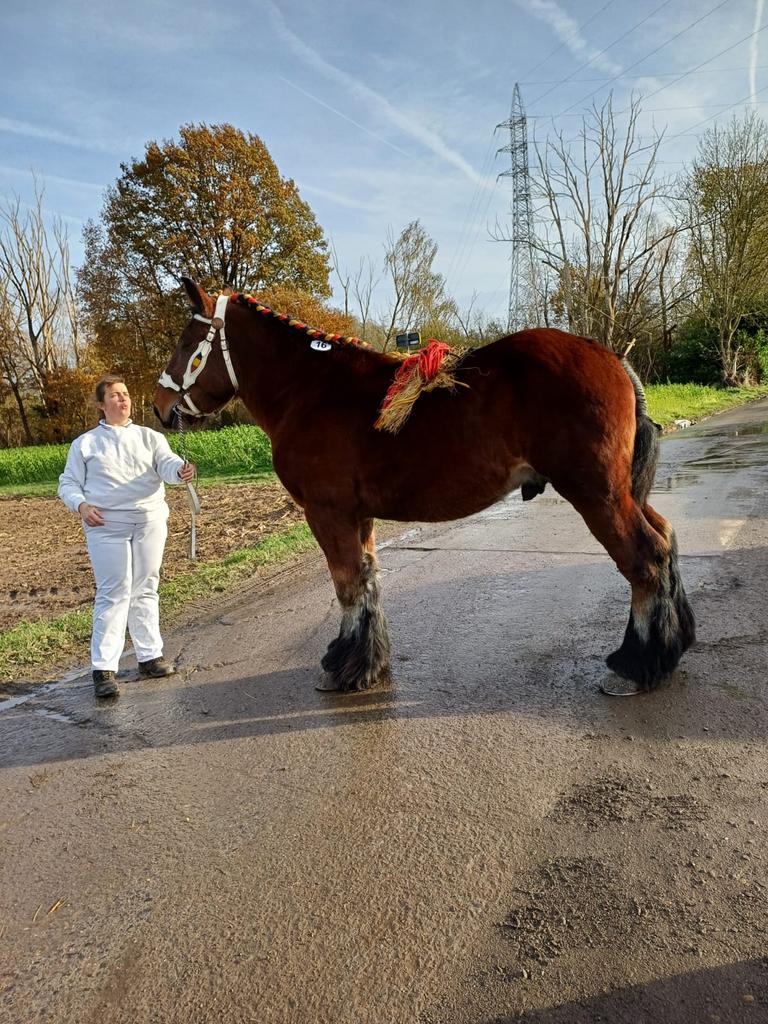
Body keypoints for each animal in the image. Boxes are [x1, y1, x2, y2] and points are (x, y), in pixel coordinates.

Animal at [153, 278, 695, 694]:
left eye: (185, 343)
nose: (160, 407)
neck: (311, 391)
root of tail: (610, 356)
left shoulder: (327, 513)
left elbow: (347, 585)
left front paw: (345, 669)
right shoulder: (357, 515)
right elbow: (367, 580)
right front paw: (364, 663)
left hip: (597, 495)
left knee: (644, 560)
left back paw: (635, 665)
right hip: (622, 494)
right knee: (665, 539)